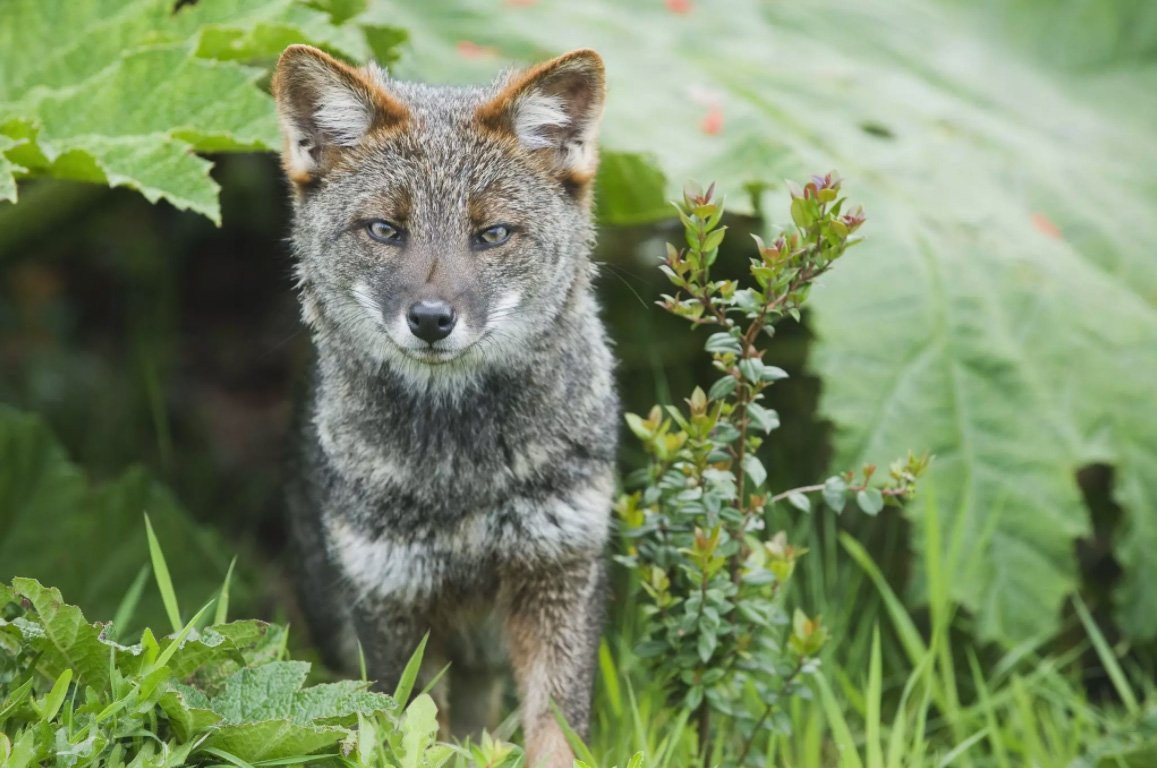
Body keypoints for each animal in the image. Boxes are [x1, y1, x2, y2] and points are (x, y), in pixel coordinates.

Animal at [271, 43, 620, 768]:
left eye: (491, 234)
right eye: (384, 230)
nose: (431, 320)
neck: (463, 476)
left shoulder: (559, 573)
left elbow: (555, 731)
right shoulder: (393, 602)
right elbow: (411, 728)